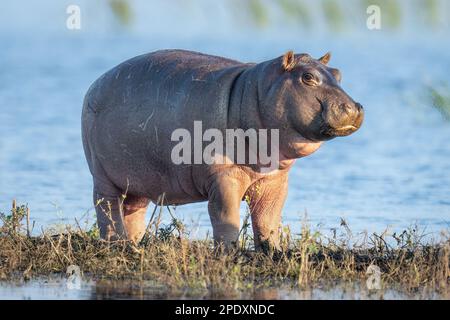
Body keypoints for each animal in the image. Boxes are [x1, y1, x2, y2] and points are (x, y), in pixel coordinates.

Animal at [81, 49, 362, 250]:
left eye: (337, 73)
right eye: (308, 77)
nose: (356, 107)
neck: (255, 92)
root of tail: (95, 84)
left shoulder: (275, 180)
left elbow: (269, 218)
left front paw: (273, 251)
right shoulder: (224, 176)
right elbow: (225, 215)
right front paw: (229, 251)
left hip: (139, 181)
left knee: (132, 211)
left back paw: (133, 243)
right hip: (102, 176)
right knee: (107, 208)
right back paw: (116, 245)